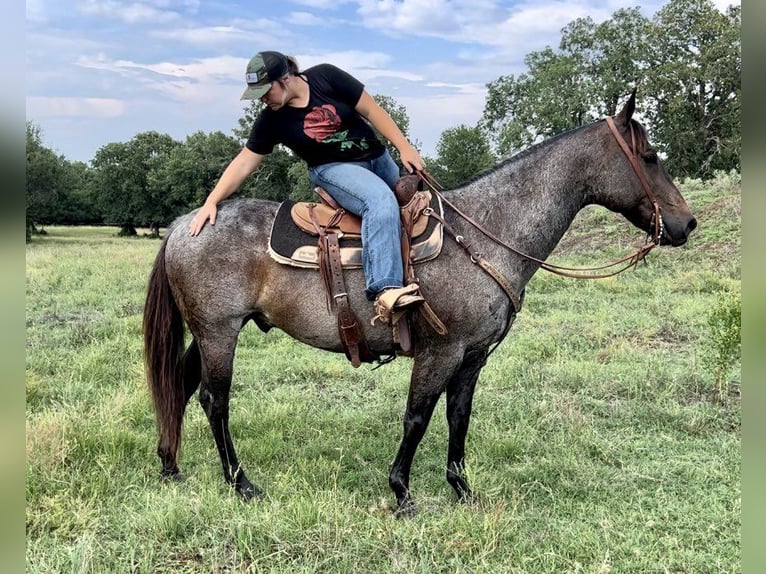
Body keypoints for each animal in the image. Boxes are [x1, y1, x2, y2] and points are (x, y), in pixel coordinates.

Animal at [142, 92, 696, 516]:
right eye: (649, 156)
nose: (687, 223)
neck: (485, 233)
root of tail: (189, 221)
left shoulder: (473, 356)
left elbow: (458, 417)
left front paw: (463, 490)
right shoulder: (440, 351)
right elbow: (417, 416)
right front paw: (402, 493)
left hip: (208, 333)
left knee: (181, 387)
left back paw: (170, 466)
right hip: (219, 332)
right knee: (214, 400)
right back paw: (240, 483)